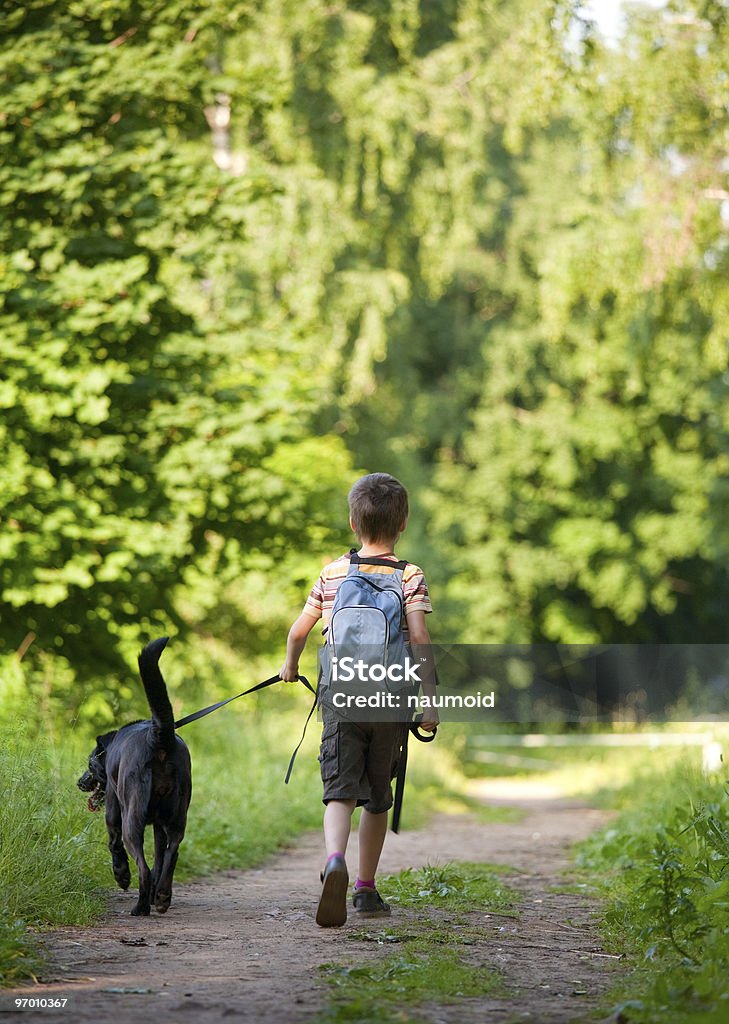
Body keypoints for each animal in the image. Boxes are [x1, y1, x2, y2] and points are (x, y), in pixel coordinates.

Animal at [77, 634, 192, 917]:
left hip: (132, 817)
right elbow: (161, 857)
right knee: (170, 856)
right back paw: (161, 897)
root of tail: (157, 736)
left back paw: (140, 906)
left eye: (91, 763)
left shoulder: (112, 808)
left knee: (144, 867)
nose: (80, 782)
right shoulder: (160, 827)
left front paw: (121, 875)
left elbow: (113, 843)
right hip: (176, 818)